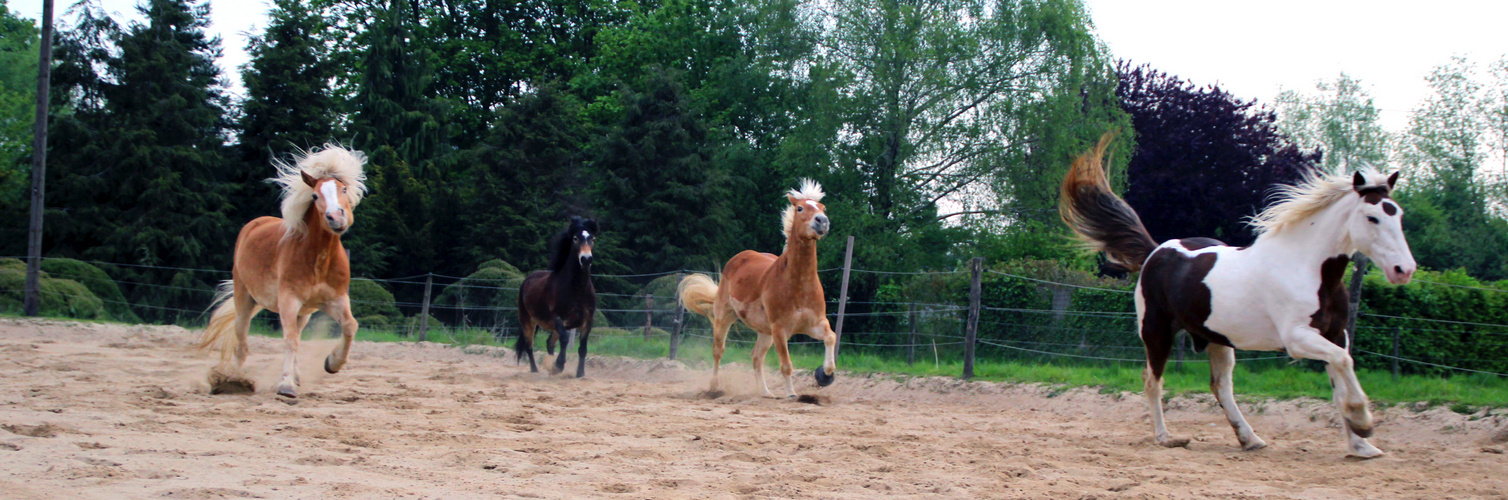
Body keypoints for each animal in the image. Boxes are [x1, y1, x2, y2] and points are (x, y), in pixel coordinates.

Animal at [197, 144, 367, 397]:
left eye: (343, 189)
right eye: (315, 195)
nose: (335, 217)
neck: (319, 260)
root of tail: (252, 225)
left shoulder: (335, 299)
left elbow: (349, 326)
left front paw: (332, 363)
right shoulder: (289, 300)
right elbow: (289, 340)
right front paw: (285, 385)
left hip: (303, 313)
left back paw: (295, 376)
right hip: (245, 299)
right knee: (241, 343)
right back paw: (235, 380)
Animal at [512, 216, 594, 376]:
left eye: (592, 238)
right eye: (575, 238)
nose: (586, 259)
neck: (577, 289)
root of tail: (528, 279)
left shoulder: (587, 321)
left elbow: (582, 348)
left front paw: (580, 373)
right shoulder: (558, 318)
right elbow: (565, 339)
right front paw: (558, 365)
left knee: (549, 343)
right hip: (527, 320)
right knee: (529, 345)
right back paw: (535, 370)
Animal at [681, 179, 844, 397]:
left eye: (822, 207)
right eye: (800, 208)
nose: (822, 221)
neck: (798, 285)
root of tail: (738, 258)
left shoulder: (815, 323)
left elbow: (831, 337)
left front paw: (825, 374)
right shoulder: (779, 329)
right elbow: (786, 365)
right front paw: (792, 394)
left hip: (764, 332)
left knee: (756, 357)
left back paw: (765, 392)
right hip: (725, 316)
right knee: (718, 350)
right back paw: (714, 387)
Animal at [1061, 131, 1411, 457]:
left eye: (1398, 214)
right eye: (1372, 217)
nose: (1404, 269)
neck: (1308, 268)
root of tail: (1156, 251)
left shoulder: (1336, 334)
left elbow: (1341, 376)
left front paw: (1361, 444)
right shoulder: (1297, 338)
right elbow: (1343, 362)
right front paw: (1362, 422)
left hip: (1217, 339)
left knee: (1220, 388)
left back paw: (1250, 439)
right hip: (1156, 332)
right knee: (1153, 381)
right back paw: (1167, 437)